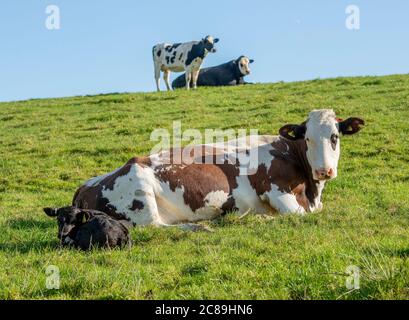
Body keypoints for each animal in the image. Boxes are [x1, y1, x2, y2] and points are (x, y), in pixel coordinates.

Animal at [72, 109, 364, 230]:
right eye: (308, 139)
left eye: (335, 136)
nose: (324, 171)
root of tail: (84, 187)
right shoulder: (276, 191)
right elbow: (296, 215)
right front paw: (263, 218)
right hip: (141, 193)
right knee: (155, 227)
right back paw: (205, 226)